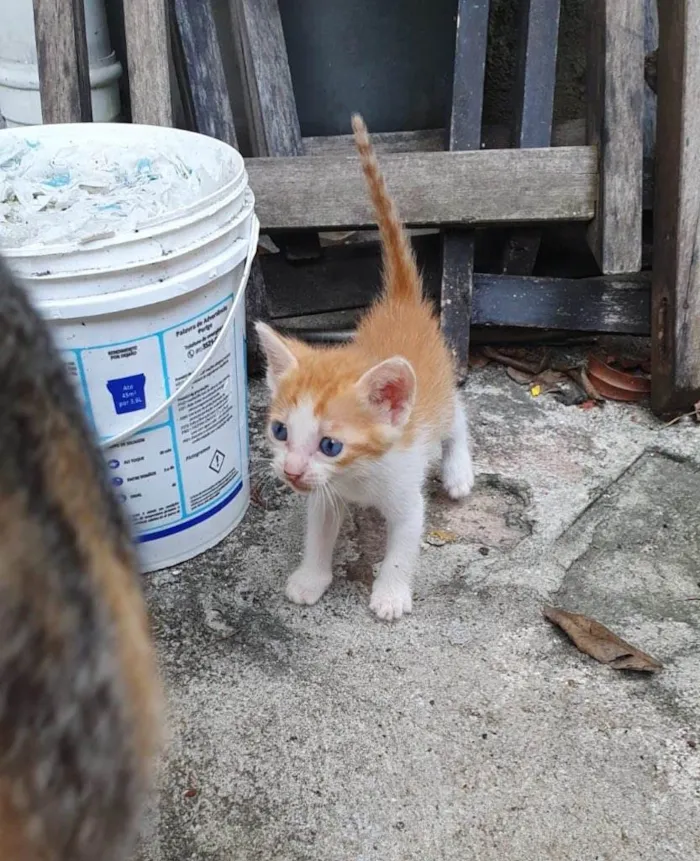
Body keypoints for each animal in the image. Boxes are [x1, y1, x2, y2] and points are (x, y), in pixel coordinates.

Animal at [254, 114, 474, 620]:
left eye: (330, 445)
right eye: (280, 431)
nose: (291, 471)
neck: (355, 477)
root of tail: (401, 302)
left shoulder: (406, 492)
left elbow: (403, 546)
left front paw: (391, 594)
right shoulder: (321, 494)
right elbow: (318, 531)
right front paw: (310, 577)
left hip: (437, 392)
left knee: (458, 415)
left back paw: (458, 471)